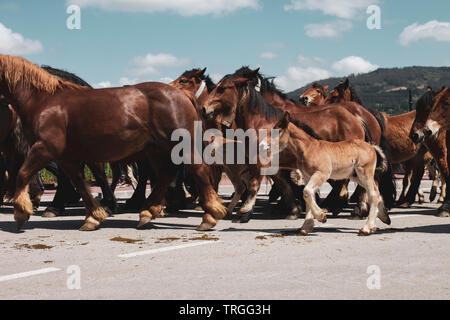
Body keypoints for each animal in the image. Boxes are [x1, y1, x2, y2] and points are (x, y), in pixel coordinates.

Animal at [0, 53, 225, 231]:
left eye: (186, 79)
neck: (45, 102)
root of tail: (183, 96)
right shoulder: (67, 157)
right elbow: (80, 183)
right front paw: (94, 216)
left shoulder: (44, 148)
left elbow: (22, 174)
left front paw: (21, 211)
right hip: (158, 149)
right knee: (166, 174)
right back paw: (148, 212)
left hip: (179, 146)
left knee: (198, 171)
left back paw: (209, 215)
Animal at [202, 74, 392, 235]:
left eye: (222, 88)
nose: (204, 108)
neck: (261, 122)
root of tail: (359, 117)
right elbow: (284, 184)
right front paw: (295, 211)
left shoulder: (262, 161)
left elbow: (256, 185)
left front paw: (245, 212)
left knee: (358, 186)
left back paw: (353, 211)